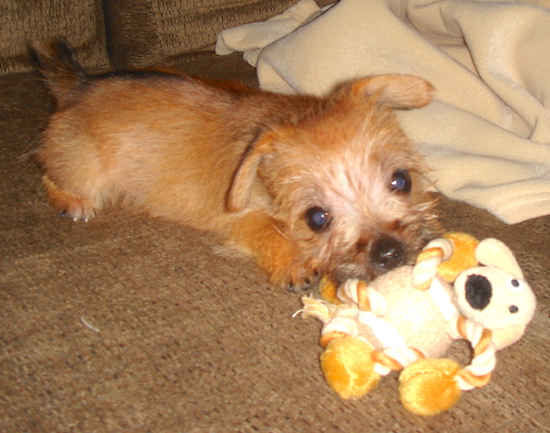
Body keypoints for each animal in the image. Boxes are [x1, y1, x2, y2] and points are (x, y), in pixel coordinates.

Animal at [34, 41, 442, 290]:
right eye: (317, 218)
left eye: (401, 180)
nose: (389, 253)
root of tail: (79, 85)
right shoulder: (239, 219)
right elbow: (268, 230)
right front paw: (293, 261)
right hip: (82, 167)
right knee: (49, 173)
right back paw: (74, 202)